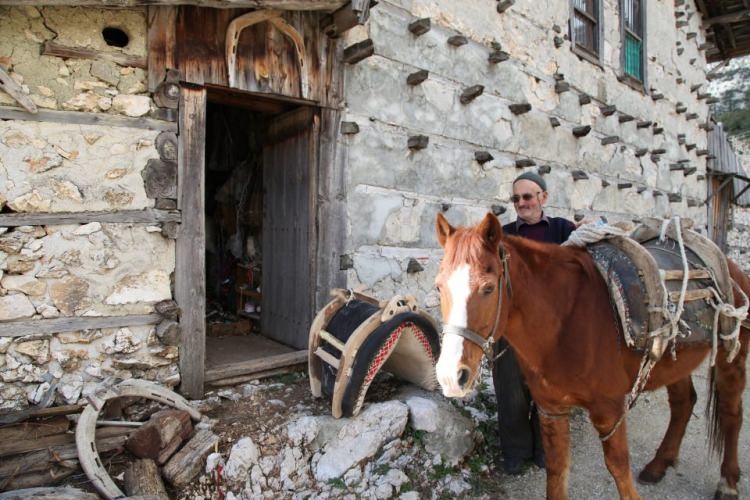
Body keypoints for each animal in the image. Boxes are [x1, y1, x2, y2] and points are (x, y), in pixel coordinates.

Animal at [434, 212, 750, 500]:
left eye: (488, 288)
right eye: (439, 286)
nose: (450, 376)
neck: (566, 321)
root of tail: (732, 268)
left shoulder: (609, 410)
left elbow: (618, 468)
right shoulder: (551, 409)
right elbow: (557, 469)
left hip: (731, 357)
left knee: (732, 413)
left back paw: (728, 483)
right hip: (672, 360)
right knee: (684, 404)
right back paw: (659, 465)